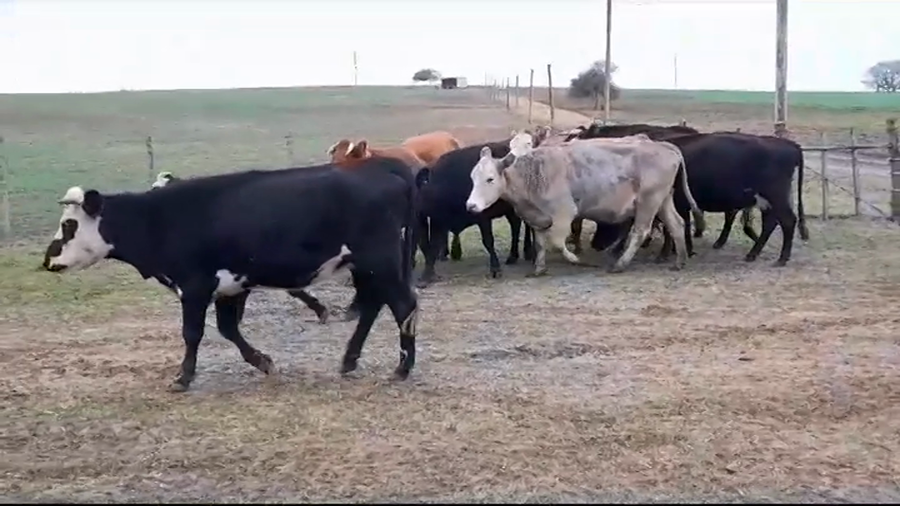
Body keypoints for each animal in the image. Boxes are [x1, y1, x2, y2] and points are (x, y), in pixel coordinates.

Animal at [415, 139, 535, 287]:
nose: (420, 211)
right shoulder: (438, 221)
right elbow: (433, 246)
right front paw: (426, 275)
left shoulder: (482, 217)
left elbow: (488, 241)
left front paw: (495, 268)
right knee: (516, 226)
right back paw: (513, 256)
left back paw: (528, 251)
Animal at [465, 132, 703, 276]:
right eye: (473, 178)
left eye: (490, 179)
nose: (471, 206)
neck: (534, 174)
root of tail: (665, 146)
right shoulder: (537, 219)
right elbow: (541, 243)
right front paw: (539, 269)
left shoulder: (564, 215)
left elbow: (556, 242)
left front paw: (576, 259)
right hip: (663, 200)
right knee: (676, 225)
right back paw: (679, 261)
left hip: (648, 202)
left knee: (640, 232)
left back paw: (620, 264)